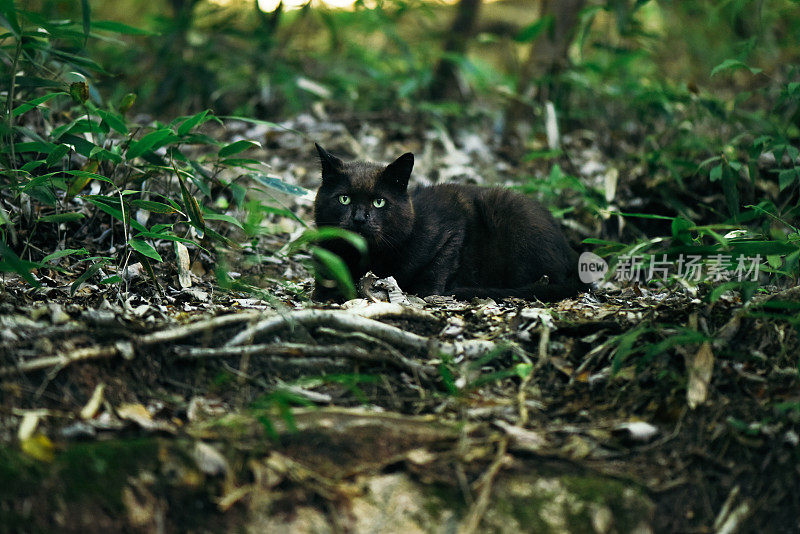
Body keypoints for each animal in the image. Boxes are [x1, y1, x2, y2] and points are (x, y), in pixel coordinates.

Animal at [312, 143, 588, 302]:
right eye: (344, 199)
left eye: (379, 202)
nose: (359, 218)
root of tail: (572, 252)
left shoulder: (453, 227)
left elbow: (439, 265)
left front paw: (428, 293)